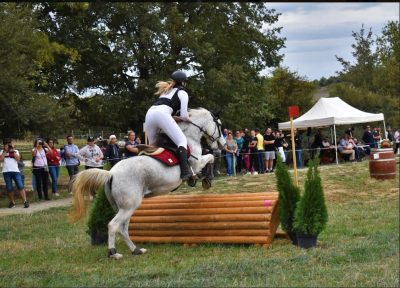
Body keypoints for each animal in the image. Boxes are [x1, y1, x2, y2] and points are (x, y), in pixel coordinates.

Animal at [67, 107, 227, 258]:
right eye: (219, 125)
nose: (222, 145)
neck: (189, 136)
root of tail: (111, 173)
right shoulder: (197, 163)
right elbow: (211, 158)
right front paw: (207, 180)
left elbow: (211, 157)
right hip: (129, 206)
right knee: (113, 225)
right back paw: (113, 253)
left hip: (124, 207)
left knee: (123, 229)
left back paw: (136, 250)